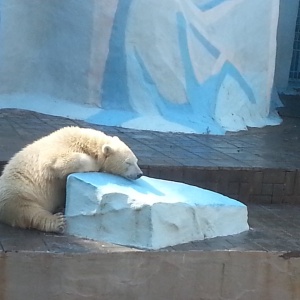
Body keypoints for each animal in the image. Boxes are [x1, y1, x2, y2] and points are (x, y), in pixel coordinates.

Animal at [0, 125, 142, 233]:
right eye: (128, 163)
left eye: (136, 161)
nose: (139, 174)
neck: (86, 141)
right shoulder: (58, 151)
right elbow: (61, 161)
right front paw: (96, 164)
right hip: (18, 196)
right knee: (30, 212)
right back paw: (57, 221)